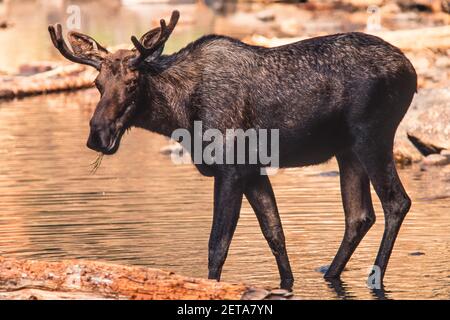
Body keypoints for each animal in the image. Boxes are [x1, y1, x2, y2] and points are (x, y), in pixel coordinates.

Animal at [47, 10, 416, 290]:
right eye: (97, 84)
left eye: (133, 83)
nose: (98, 135)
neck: (179, 115)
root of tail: (410, 69)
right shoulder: (253, 171)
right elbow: (275, 234)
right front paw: (287, 284)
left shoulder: (230, 168)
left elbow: (217, 245)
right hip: (347, 151)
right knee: (359, 215)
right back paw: (330, 273)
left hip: (372, 136)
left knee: (396, 202)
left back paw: (375, 278)